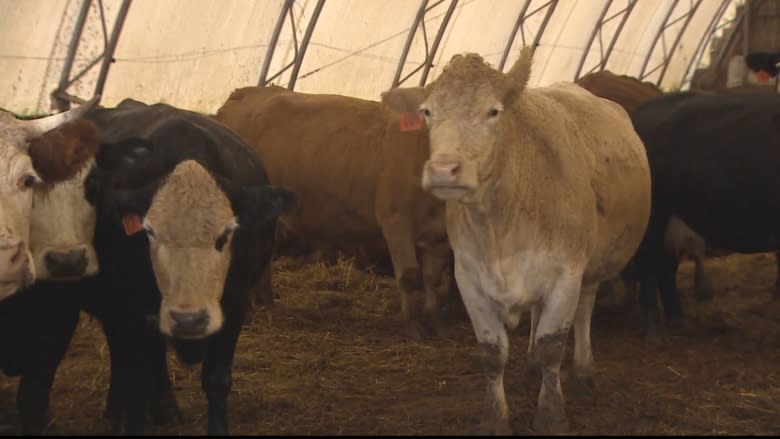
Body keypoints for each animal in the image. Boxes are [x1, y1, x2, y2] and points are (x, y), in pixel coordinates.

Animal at [81, 99, 296, 436]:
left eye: (226, 233)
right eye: (150, 231)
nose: (189, 319)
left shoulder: (235, 305)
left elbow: (217, 380)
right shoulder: (131, 308)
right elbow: (138, 379)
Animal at [216, 86, 454, 340]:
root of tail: (245, 93)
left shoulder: (439, 232)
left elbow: (432, 279)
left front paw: (438, 324)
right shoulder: (396, 220)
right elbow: (409, 276)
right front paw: (413, 327)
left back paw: (266, 301)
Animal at [384, 49, 652, 436]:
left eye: (493, 111)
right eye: (427, 112)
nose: (444, 170)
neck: (499, 225)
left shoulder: (566, 273)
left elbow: (552, 345)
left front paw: (551, 415)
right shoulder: (469, 278)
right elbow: (492, 352)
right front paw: (494, 418)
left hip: (590, 268)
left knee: (584, 310)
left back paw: (583, 372)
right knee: (537, 316)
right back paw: (530, 367)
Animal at [632, 90, 780, 336]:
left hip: (673, 218)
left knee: (665, 265)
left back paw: (676, 318)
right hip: (655, 216)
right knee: (649, 263)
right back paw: (653, 327)